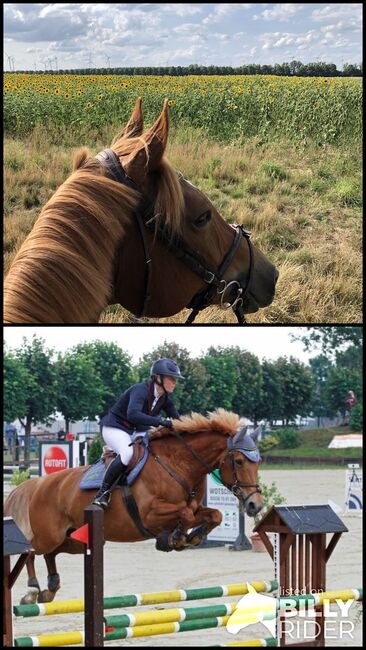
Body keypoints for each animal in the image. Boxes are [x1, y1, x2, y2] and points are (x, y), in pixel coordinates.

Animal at [5, 410, 264, 604]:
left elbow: (214, 515)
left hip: (75, 540)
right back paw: (32, 590)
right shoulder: (150, 514)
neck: (178, 465)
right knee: (31, 550)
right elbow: (185, 514)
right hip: (50, 535)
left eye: (258, 462)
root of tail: (38, 484)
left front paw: (190, 538)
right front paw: (176, 537)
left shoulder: (194, 508)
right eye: (239, 461)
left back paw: (50, 587)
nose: (255, 504)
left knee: (50, 554)